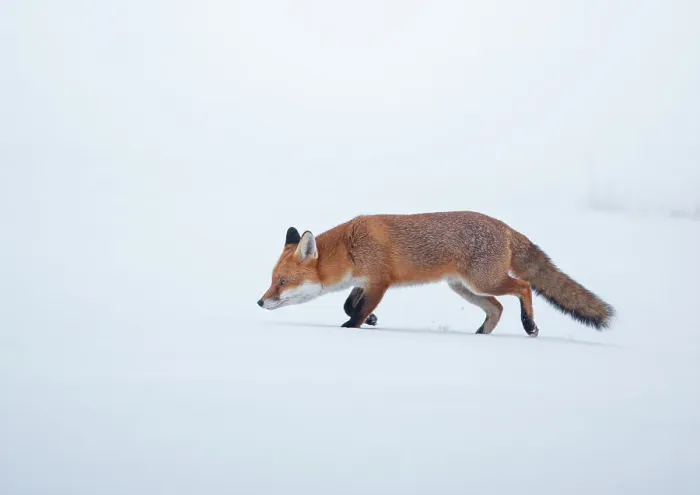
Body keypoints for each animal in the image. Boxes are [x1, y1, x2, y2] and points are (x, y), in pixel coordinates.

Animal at [256, 211, 615, 336]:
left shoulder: (380, 281)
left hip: (484, 281)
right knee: (497, 307)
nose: (260, 302)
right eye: (272, 280)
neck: (350, 248)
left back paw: (529, 325)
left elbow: (356, 312)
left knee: (524, 286)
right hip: (464, 288)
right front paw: (371, 320)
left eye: (283, 282)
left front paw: (352, 329)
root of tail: (505, 226)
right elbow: (349, 304)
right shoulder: (363, 282)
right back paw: (481, 334)